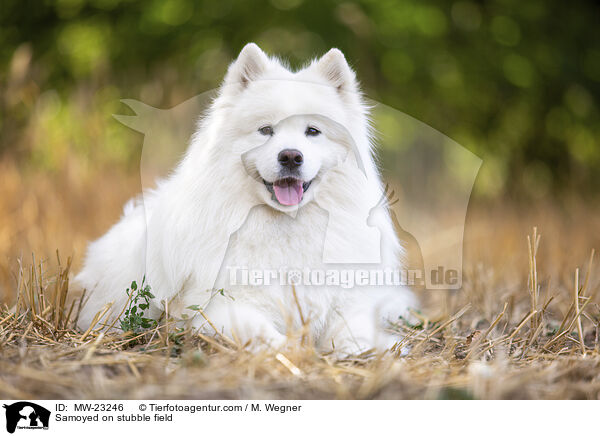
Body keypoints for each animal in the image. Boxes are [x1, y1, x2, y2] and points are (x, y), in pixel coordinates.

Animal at [72, 42, 414, 354]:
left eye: (313, 131)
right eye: (265, 130)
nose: (291, 156)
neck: (287, 227)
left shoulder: (347, 302)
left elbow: (351, 331)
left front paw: (370, 349)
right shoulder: (223, 307)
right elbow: (263, 333)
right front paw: (296, 352)